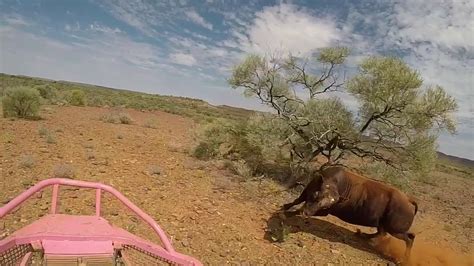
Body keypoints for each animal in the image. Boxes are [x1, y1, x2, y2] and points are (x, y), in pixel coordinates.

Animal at [282, 167, 418, 262]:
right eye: (316, 195)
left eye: (326, 206)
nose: (306, 213)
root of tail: (408, 199)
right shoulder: (307, 190)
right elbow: (297, 200)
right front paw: (285, 207)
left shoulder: (325, 212)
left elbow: (298, 207)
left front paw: (287, 214)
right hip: (385, 225)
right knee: (383, 233)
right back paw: (362, 234)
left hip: (395, 229)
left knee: (409, 238)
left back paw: (404, 259)